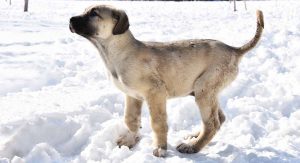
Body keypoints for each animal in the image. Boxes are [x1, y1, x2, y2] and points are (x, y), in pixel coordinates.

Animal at [69, 5, 264, 157]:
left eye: (94, 13)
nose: (70, 19)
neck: (115, 52)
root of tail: (234, 50)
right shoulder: (133, 96)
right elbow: (131, 119)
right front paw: (130, 140)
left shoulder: (156, 93)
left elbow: (158, 123)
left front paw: (160, 148)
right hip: (205, 91)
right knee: (219, 118)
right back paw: (195, 137)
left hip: (204, 89)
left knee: (212, 123)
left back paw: (193, 147)